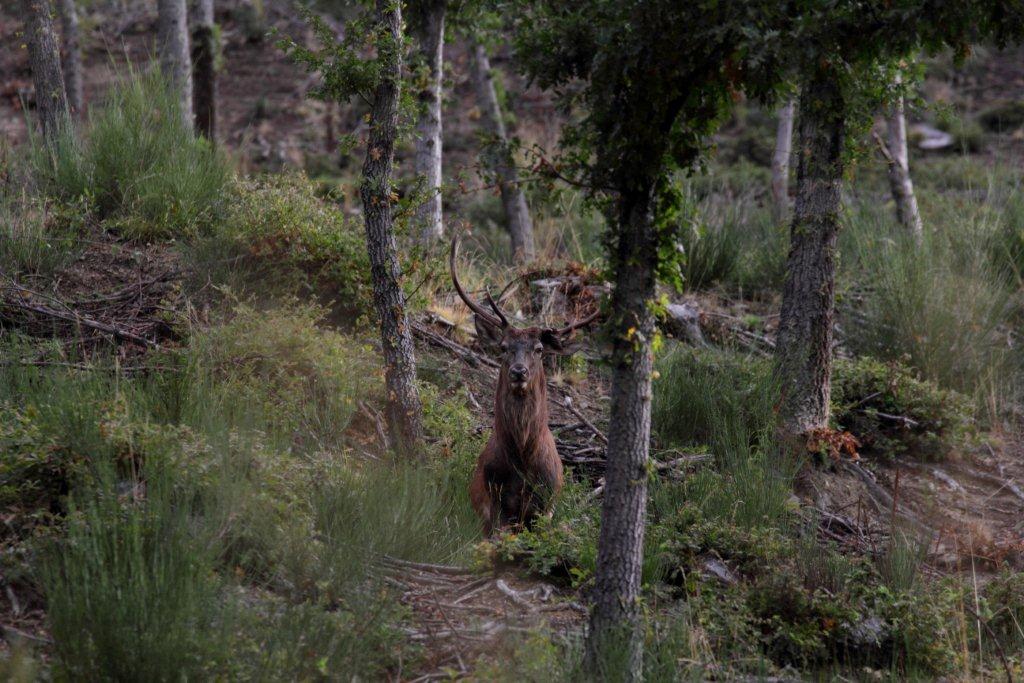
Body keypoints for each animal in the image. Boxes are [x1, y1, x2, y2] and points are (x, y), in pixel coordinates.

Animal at [450, 237, 598, 536]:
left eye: (539, 349)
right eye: (504, 347)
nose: (519, 371)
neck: (521, 462)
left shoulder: (547, 503)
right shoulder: (492, 502)